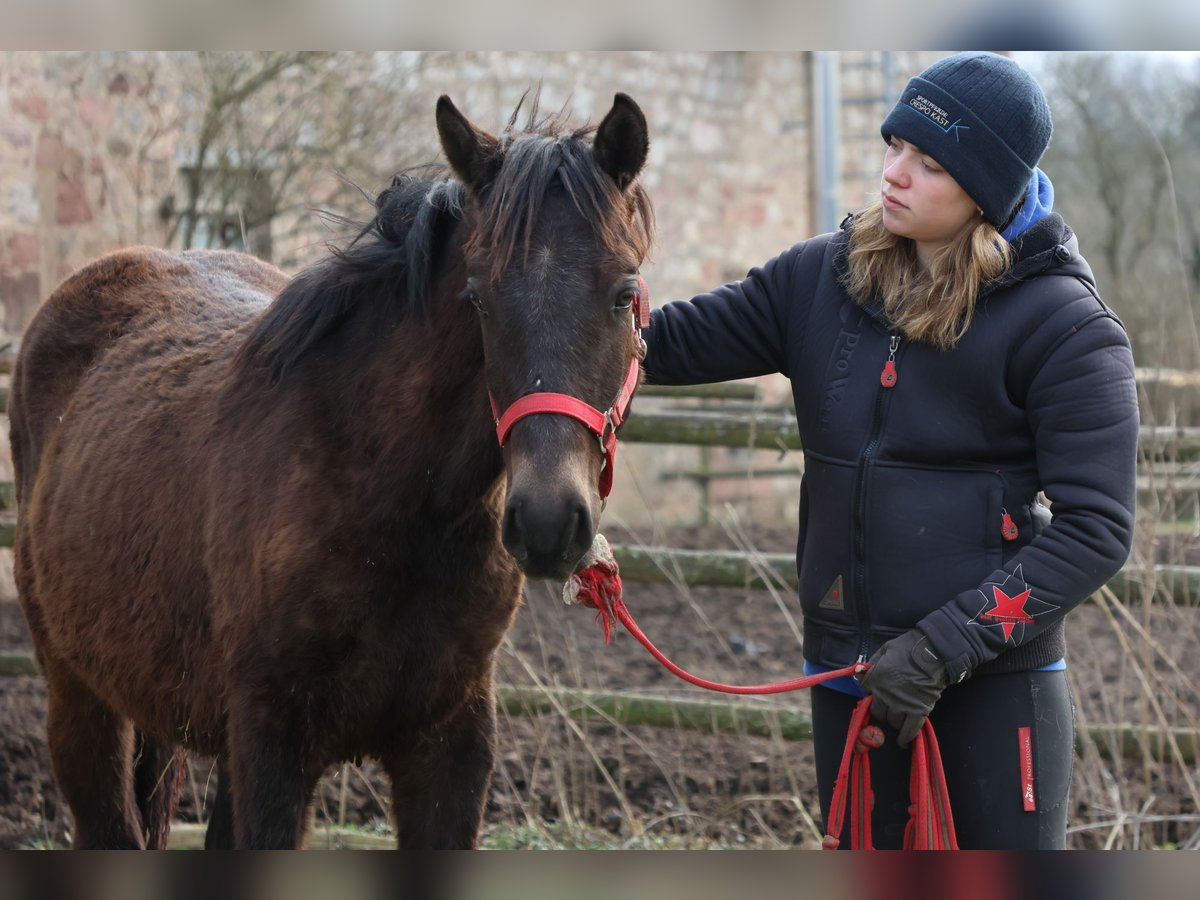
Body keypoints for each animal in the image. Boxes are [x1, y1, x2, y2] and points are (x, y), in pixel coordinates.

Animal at [4, 95, 652, 849]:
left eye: (624, 293)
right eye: (478, 299)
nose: (548, 521)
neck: (389, 497)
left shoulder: (450, 749)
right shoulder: (273, 747)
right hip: (83, 701)